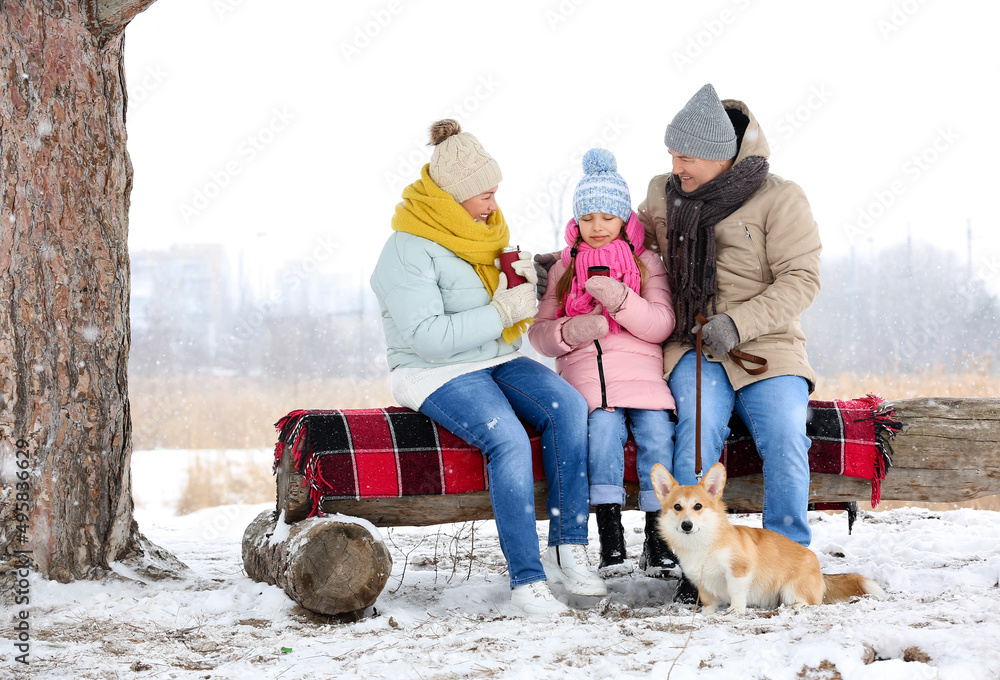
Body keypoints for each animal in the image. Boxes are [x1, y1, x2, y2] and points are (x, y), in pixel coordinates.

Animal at [652, 462, 888, 616]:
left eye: (698, 506)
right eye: (677, 507)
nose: (687, 525)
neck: (702, 544)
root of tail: (821, 573)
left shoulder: (739, 571)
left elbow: (736, 592)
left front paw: (735, 610)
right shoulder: (702, 581)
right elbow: (708, 602)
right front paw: (706, 615)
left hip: (790, 589)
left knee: (811, 603)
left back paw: (796, 606)